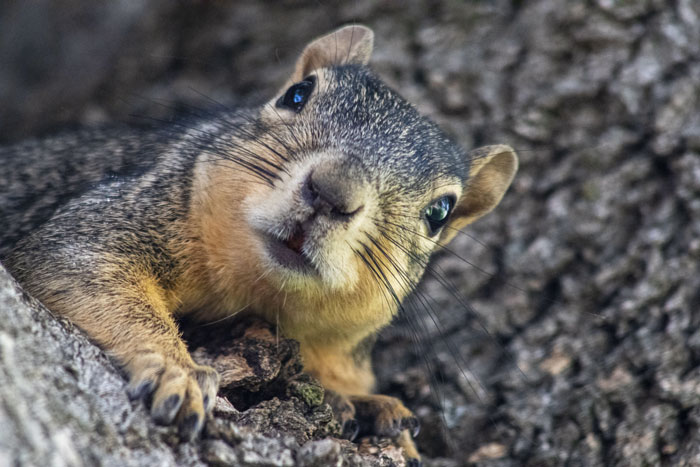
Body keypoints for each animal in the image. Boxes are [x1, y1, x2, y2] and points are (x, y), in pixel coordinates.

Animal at [0, 25, 517, 464]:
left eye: (440, 212)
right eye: (297, 93)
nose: (331, 191)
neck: (256, 286)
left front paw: (365, 404)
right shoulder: (132, 209)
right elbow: (81, 262)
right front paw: (175, 370)